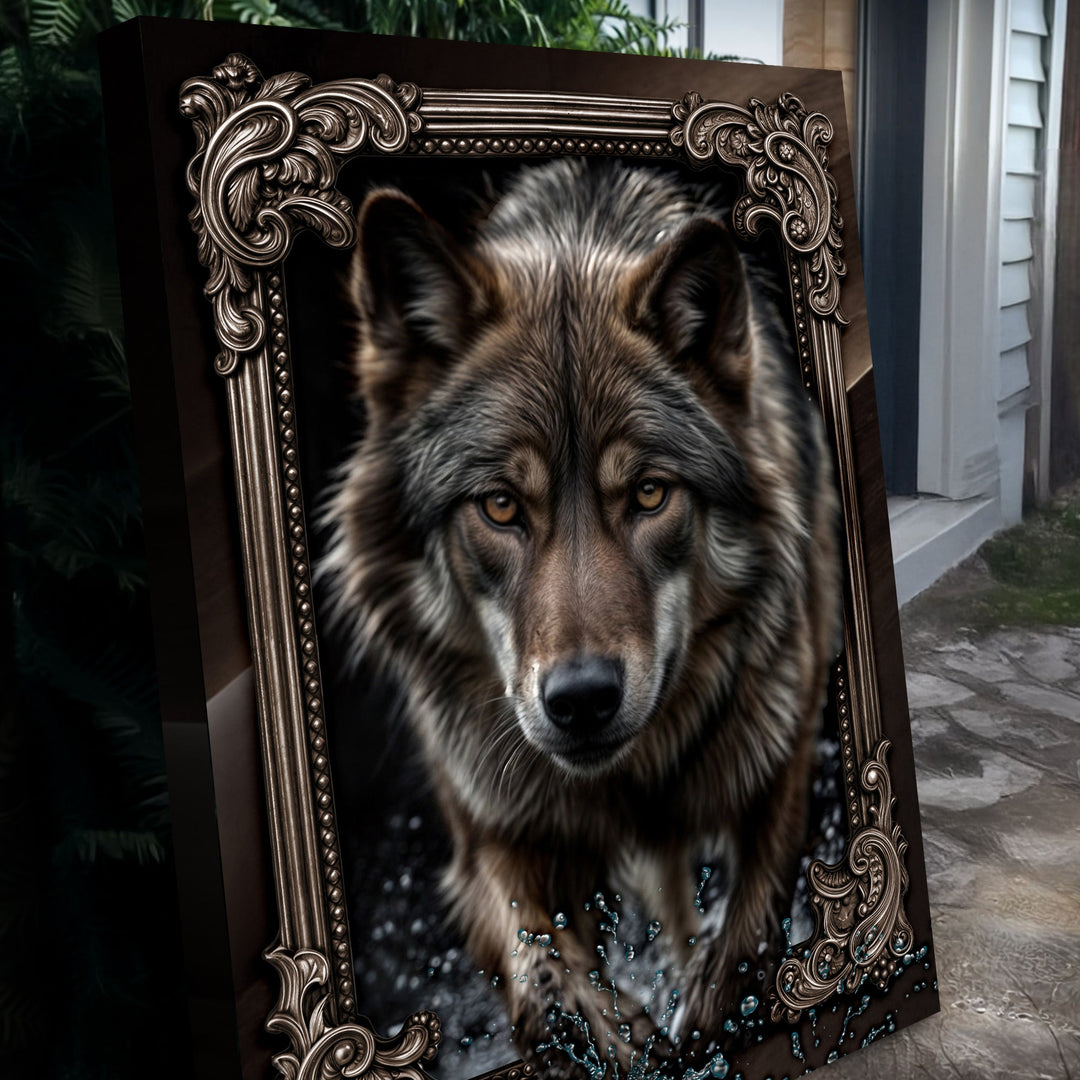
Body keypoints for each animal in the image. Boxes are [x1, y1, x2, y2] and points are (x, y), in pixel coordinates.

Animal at [319, 158, 842, 1071]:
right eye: (499, 506)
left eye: (649, 494)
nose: (583, 700)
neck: (626, 784)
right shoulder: (491, 833)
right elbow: (545, 968)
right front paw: (614, 1033)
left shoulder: (782, 761)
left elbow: (744, 940)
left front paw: (704, 1019)